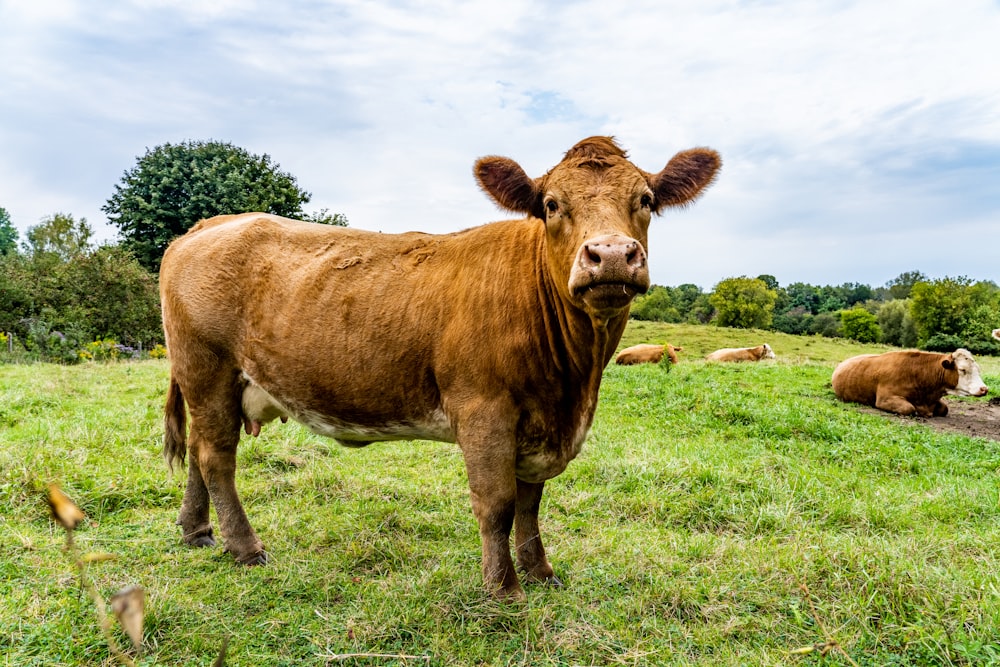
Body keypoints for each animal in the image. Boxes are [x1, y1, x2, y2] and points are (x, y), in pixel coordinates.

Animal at [158, 134, 720, 600]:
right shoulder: (484, 410)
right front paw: (505, 589)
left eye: (645, 201)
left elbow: (531, 501)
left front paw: (541, 572)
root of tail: (214, 222)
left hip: (207, 382)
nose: (611, 255)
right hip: (207, 368)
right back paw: (244, 547)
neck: (574, 386)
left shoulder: (541, 424)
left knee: (199, 451)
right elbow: (497, 502)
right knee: (216, 457)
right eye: (551, 204)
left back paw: (197, 532)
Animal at [832, 350, 988, 418]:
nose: (984, 389)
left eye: (978, 369)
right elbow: (909, 408)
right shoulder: (884, 399)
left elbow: (945, 409)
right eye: (962, 370)